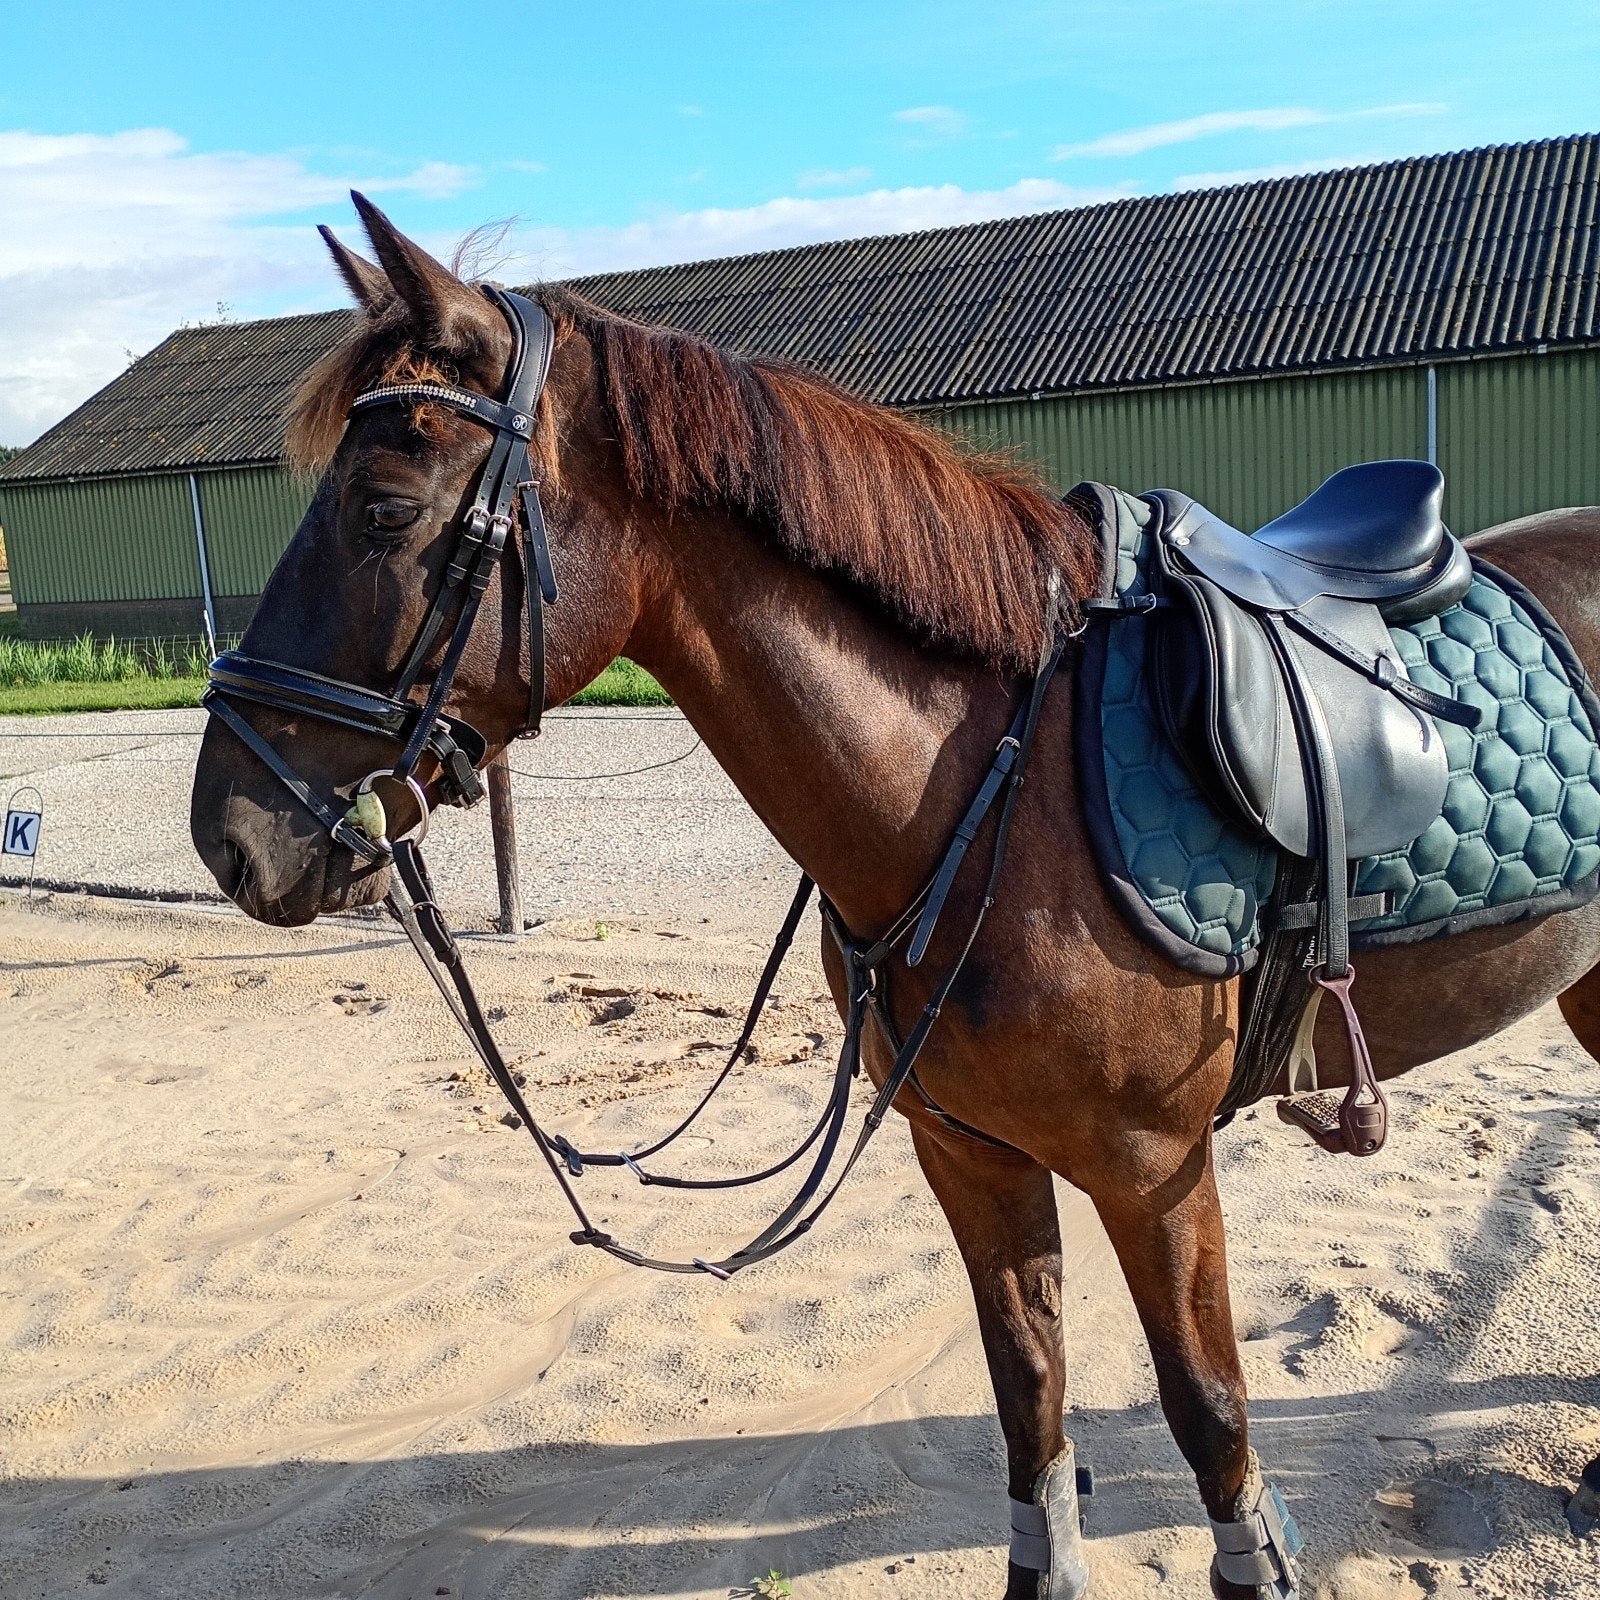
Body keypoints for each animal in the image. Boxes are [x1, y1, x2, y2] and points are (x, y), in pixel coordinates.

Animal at [189, 196, 1600, 1598]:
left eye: (382, 509)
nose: (229, 836)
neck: (1000, 787)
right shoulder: (965, 1149)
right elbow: (1030, 1405)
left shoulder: (1155, 1168)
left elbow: (1211, 1421)